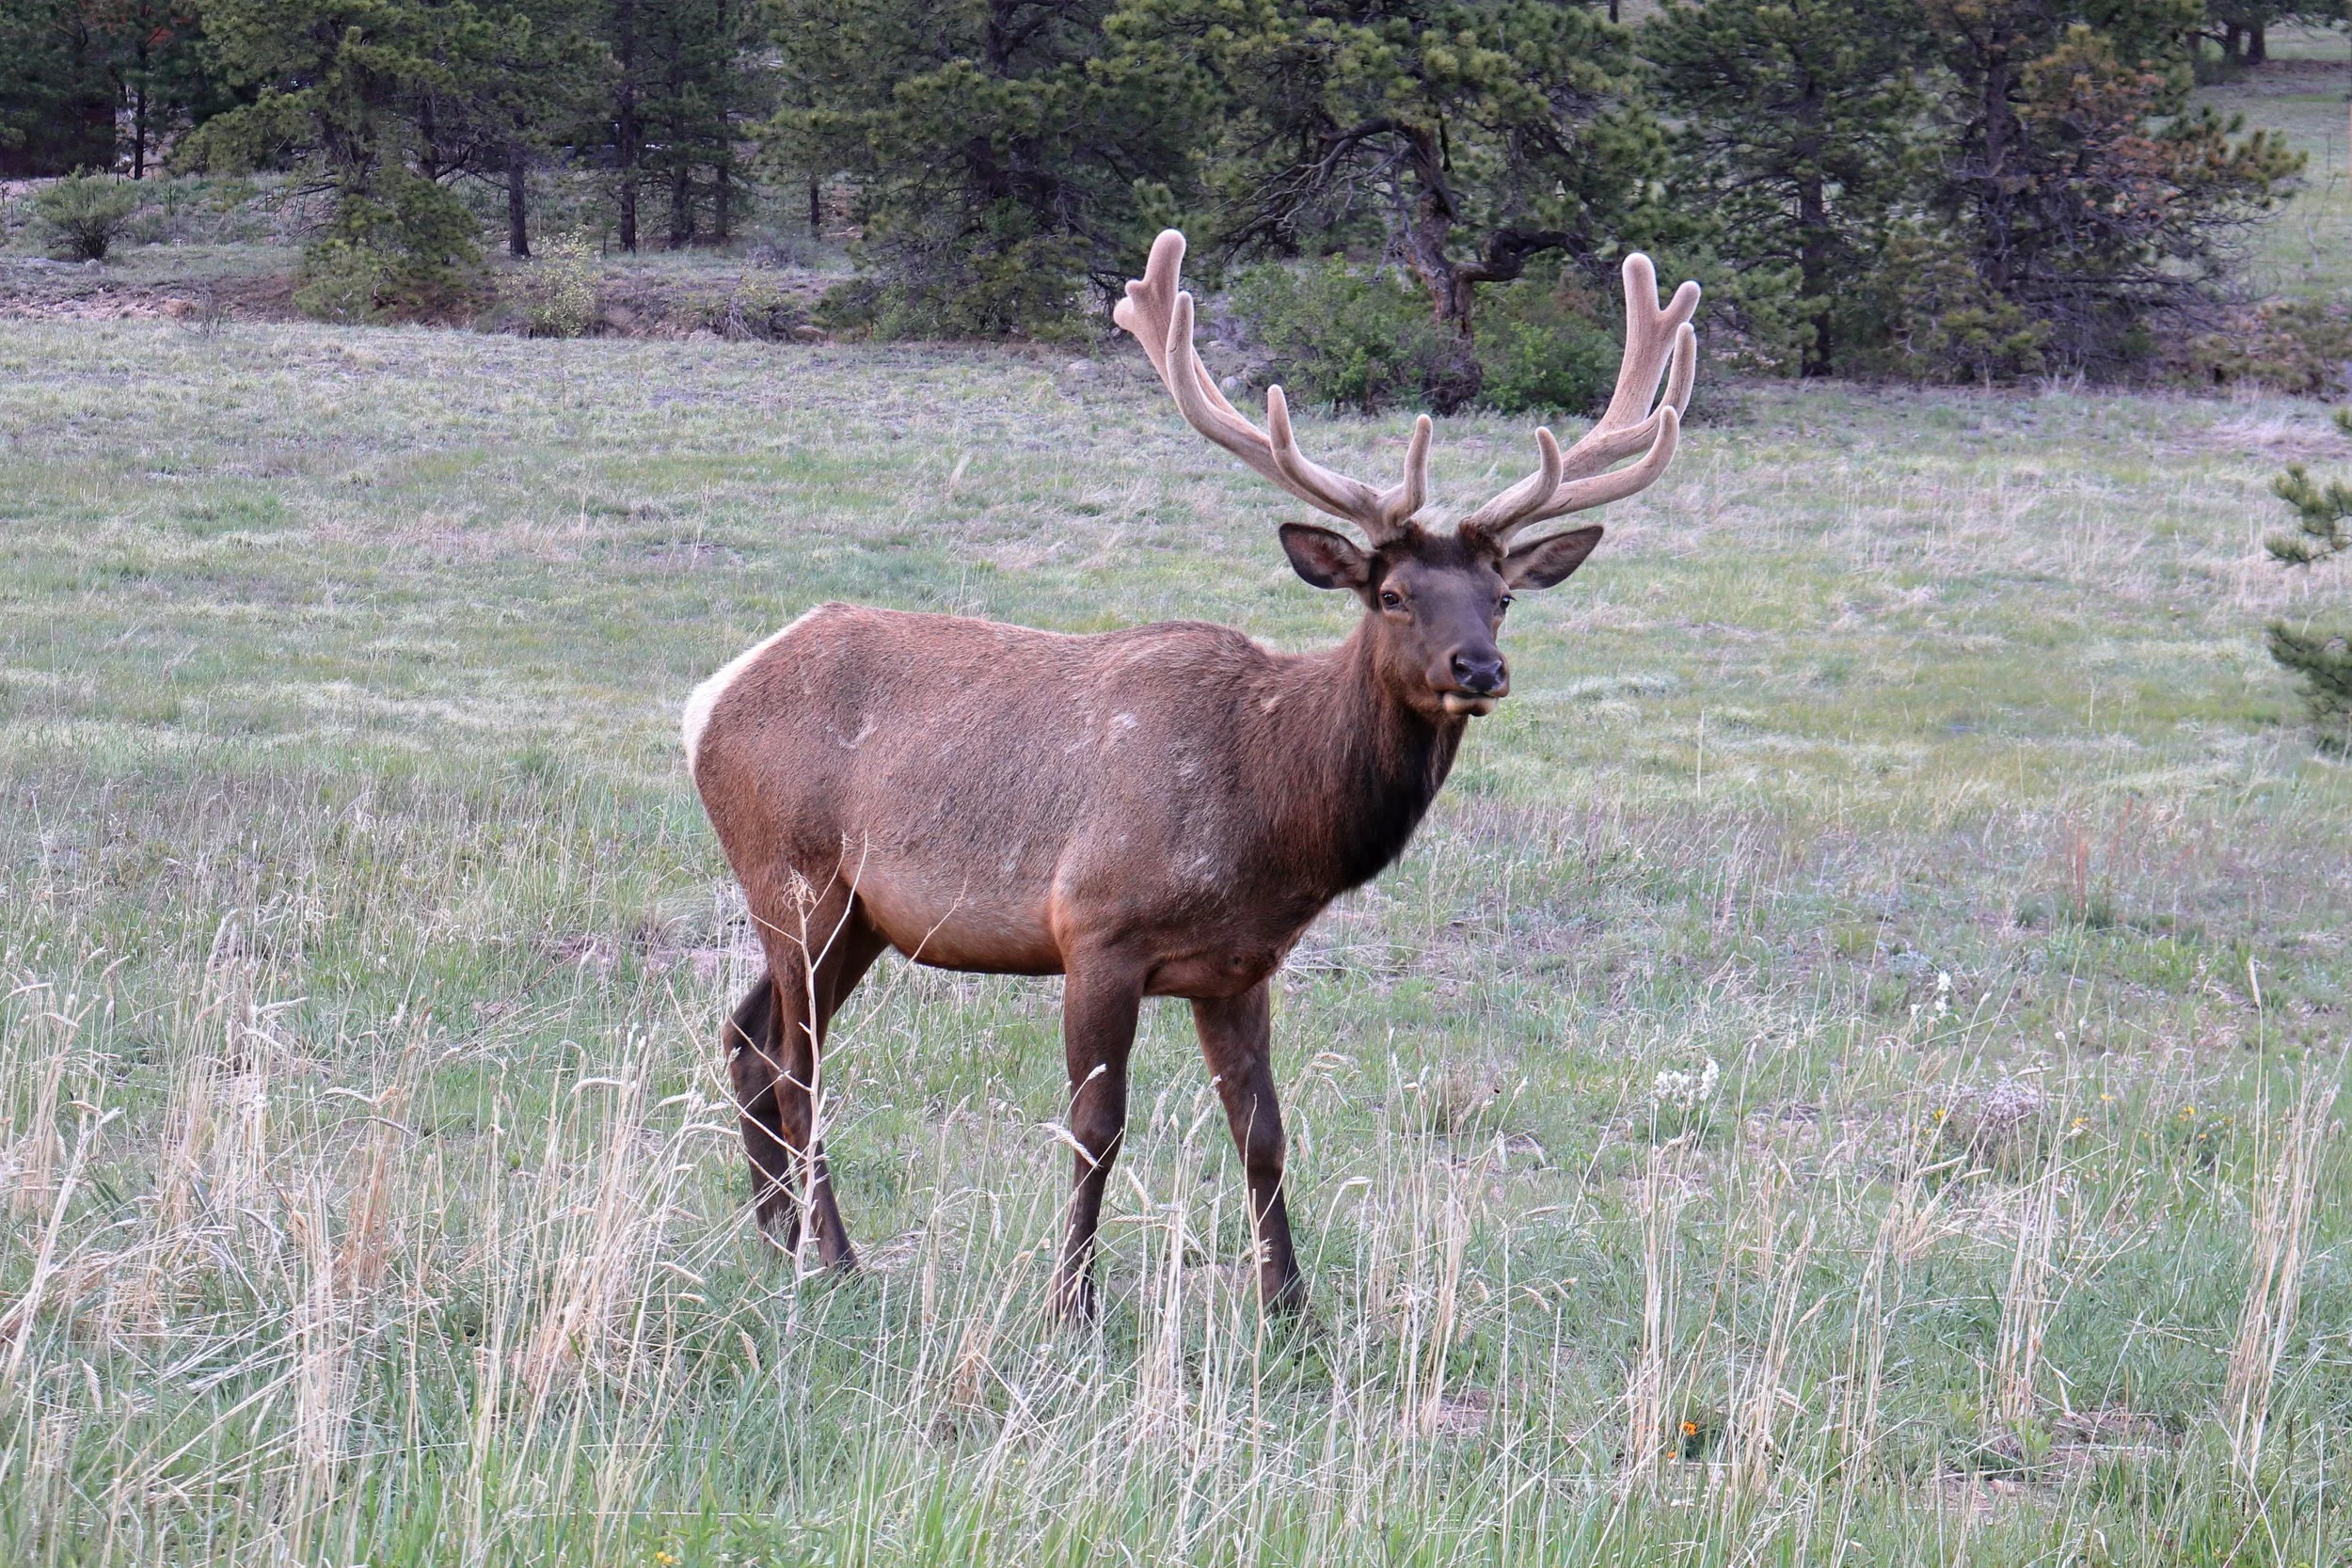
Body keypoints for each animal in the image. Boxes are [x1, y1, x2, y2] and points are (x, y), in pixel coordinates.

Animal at [684, 230, 1698, 1318]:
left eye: (1501, 594)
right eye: (1390, 593)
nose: (1479, 668)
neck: (1270, 815)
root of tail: (707, 698)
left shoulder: (1240, 965)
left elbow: (1264, 1133)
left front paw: (1291, 1307)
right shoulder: (1094, 926)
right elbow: (1096, 1127)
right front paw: (1073, 1303)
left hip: (861, 913)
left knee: (748, 1036)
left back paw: (776, 1235)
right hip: (794, 873)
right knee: (796, 1064)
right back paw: (832, 1254)